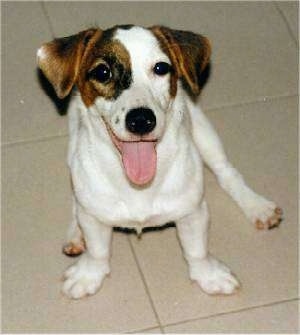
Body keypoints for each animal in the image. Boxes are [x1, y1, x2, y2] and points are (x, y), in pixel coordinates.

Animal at [36, 25, 282, 300]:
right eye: (102, 72)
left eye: (161, 68)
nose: (141, 120)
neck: (138, 186)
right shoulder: (93, 215)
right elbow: (97, 250)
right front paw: (89, 274)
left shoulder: (192, 211)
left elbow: (197, 250)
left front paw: (209, 275)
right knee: (76, 199)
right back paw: (74, 232)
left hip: (204, 133)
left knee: (227, 174)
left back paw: (256, 206)